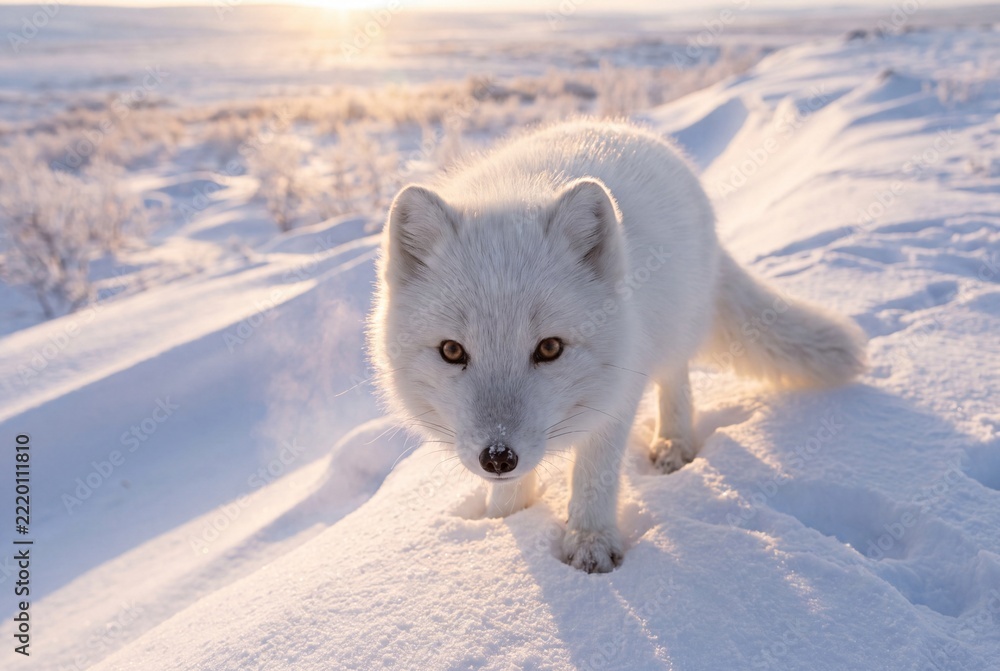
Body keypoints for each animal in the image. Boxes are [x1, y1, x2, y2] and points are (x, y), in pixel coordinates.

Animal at [368, 120, 866, 573]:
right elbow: (512, 496)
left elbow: (595, 473)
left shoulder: (617, 392)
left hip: (673, 331)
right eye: (452, 351)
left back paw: (673, 442)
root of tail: (628, 128)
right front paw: (502, 523)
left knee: (676, 380)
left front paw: (591, 543)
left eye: (549, 348)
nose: (498, 457)